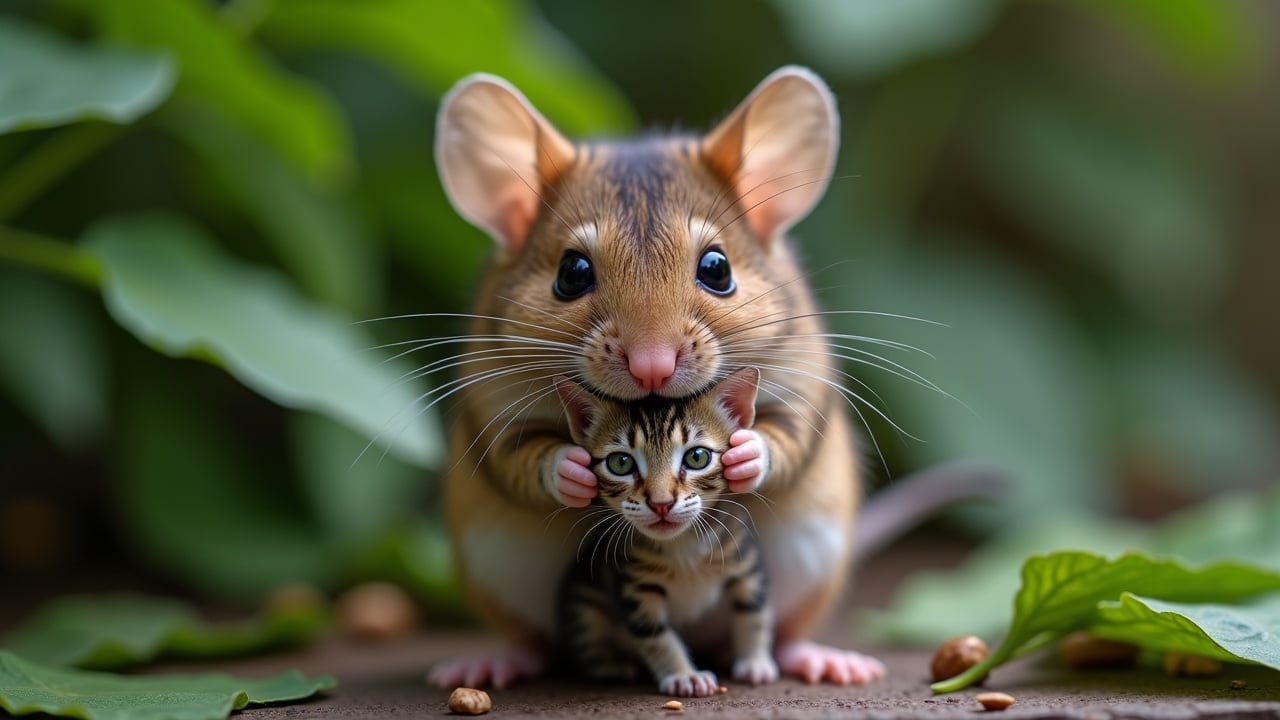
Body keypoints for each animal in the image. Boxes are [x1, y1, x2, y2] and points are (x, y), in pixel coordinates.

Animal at [547, 366, 773, 691]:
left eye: (697, 457)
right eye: (620, 462)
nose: (661, 503)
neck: (682, 545)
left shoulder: (744, 559)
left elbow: (753, 610)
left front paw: (755, 662)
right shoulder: (633, 585)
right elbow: (655, 634)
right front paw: (683, 674)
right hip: (583, 601)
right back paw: (609, 666)